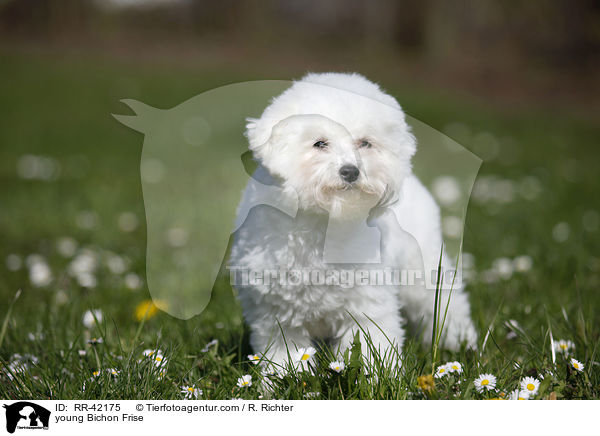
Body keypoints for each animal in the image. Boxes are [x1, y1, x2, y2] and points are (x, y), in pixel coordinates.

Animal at [231, 72, 478, 368]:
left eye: (365, 143)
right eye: (319, 143)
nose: (351, 171)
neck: (324, 223)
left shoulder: (367, 305)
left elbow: (373, 347)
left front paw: (377, 374)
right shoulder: (275, 314)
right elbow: (285, 355)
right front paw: (282, 377)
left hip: (423, 267)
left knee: (442, 304)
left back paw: (460, 343)